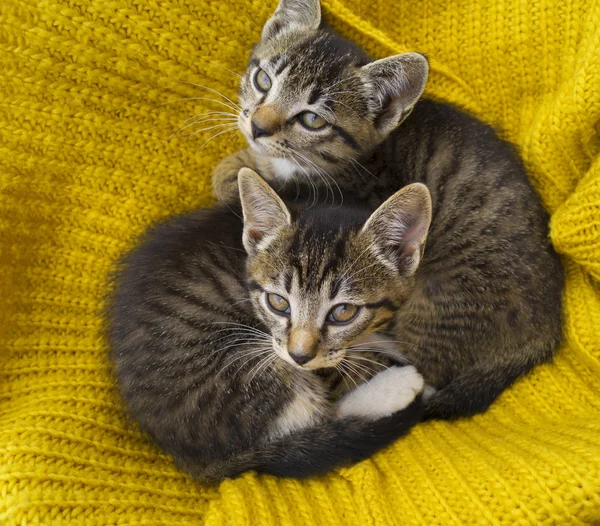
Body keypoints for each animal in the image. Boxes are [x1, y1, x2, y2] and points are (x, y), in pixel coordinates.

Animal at [110, 170, 428, 486]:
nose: (299, 356)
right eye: (278, 302)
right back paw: (396, 387)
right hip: (240, 367)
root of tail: (190, 457)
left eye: (343, 312)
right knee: (322, 417)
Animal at [210, 0, 564, 420]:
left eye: (312, 119)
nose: (258, 128)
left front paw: (235, 174)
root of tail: (546, 332)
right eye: (263, 80)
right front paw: (239, 164)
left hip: (439, 303)